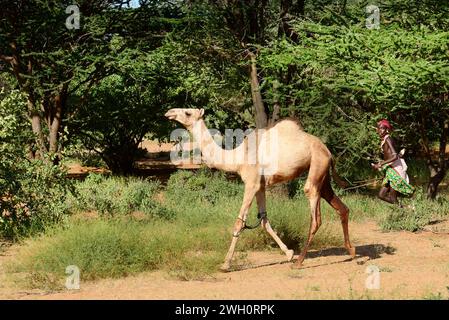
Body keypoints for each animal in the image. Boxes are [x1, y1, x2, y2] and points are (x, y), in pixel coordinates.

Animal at [163, 109, 356, 272]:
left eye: (188, 113)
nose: (169, 113)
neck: (237, 158)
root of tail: (328, 151)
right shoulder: (261, 186)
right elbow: (264, 220)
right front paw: (288, 253)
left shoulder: (251, 183)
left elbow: (239, 222)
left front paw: (225, 264)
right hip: (322, 174)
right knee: (341, 207)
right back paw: (351, 252)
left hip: (316, 164)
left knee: (315, 214)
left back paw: (300, 262)